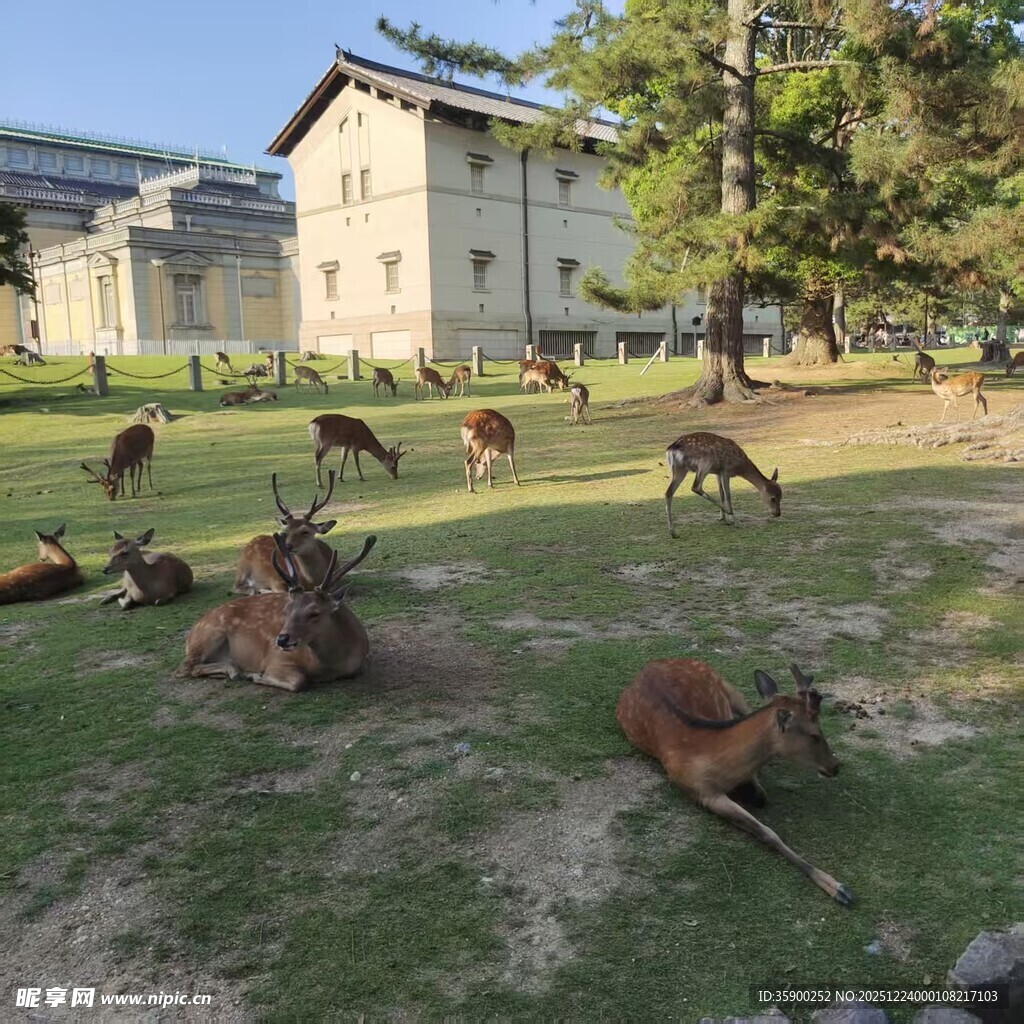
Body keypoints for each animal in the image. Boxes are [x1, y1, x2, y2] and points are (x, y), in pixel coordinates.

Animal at [177, 534, 376, 692]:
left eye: (315, 613)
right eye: (287, 610)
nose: (281, 639)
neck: (331, 666)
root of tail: (191, 634)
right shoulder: (276, 658)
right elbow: (299, 681)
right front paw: (256, 676)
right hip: (210, 634)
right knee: (184, 668)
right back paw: (235, 670)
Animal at [617, 660, 851, 905]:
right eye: (814, 734)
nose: (835, 765)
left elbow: (760, 798)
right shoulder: (702, 792)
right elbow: (767, 832)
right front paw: (838, 888)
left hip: (731, 690)